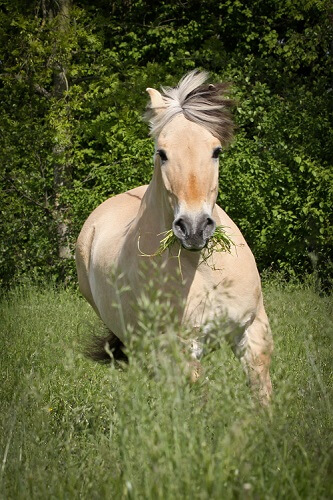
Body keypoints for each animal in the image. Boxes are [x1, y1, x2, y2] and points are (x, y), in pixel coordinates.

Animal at [76, 70, 272, 404]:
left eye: (216, 151)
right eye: (162, 153)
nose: (194, 228)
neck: (202, 270)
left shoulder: (253, 329)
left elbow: (262, 395)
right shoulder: (178, 348)